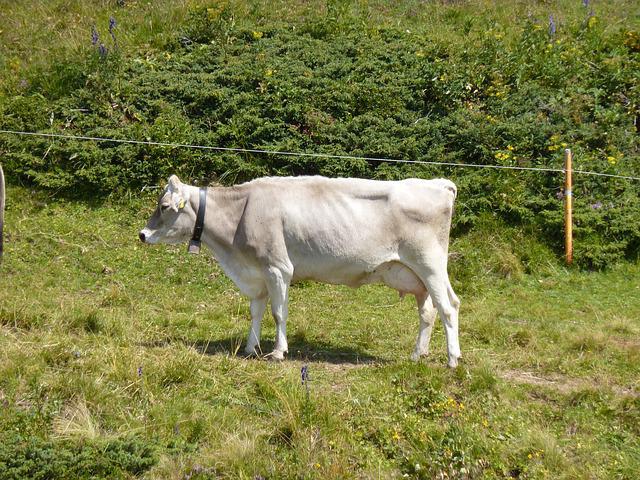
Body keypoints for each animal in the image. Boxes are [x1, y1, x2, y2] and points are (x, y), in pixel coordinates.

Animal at [140, 176, 460, 368]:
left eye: (164, 206)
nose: (142, 234)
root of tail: (439, 184)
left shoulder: (278, 267)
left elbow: (278, 313)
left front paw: (278, 352)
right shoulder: (256, 273)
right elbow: (255, 312)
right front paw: (250, 348)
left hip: (430, 264)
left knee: (449, 307)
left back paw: (452, 359)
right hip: (417, 276)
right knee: (428, 312)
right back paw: (418, 354)